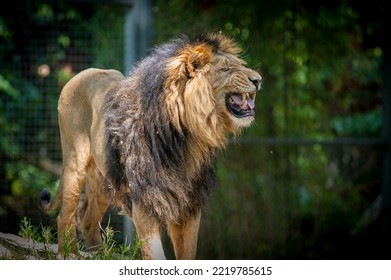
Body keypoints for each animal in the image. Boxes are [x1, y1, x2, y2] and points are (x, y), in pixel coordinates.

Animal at [39, 32, 264, 260]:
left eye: (240, 65)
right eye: (226, 69)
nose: (258, 80)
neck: (187, 137)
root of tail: (81, 73)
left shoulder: (190, 204)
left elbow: (187, 253)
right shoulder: (144, 200)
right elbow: (154, 253)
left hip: (104, 178)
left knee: (86, 218)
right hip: (75, 159)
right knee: (65, 215)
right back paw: (68, 254)